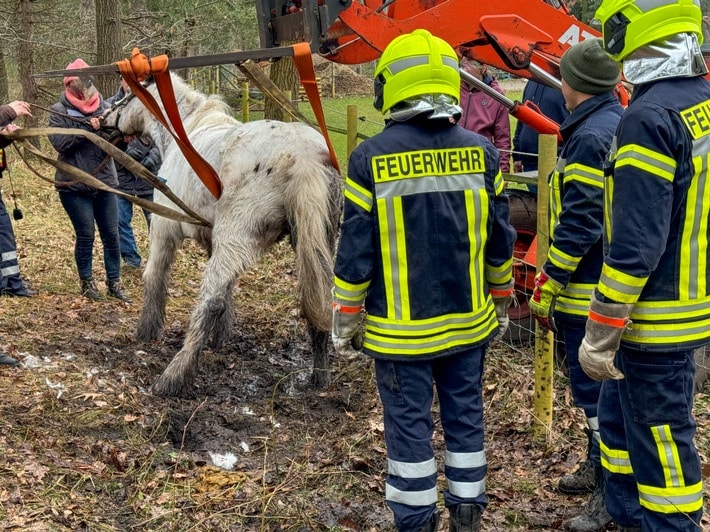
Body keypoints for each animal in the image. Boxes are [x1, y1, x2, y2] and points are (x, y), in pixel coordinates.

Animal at [102, 76, 342, 400]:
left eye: (121, 97)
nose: (102, 120)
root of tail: (303, 156)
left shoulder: (164, 228)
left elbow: (155, 277)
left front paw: (147, 331)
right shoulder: (211, 239)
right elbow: (228, 289)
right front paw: (220, 337)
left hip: (235, 236)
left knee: (209, 299)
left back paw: (173, 376)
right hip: (316, 242)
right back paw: (320, 376)